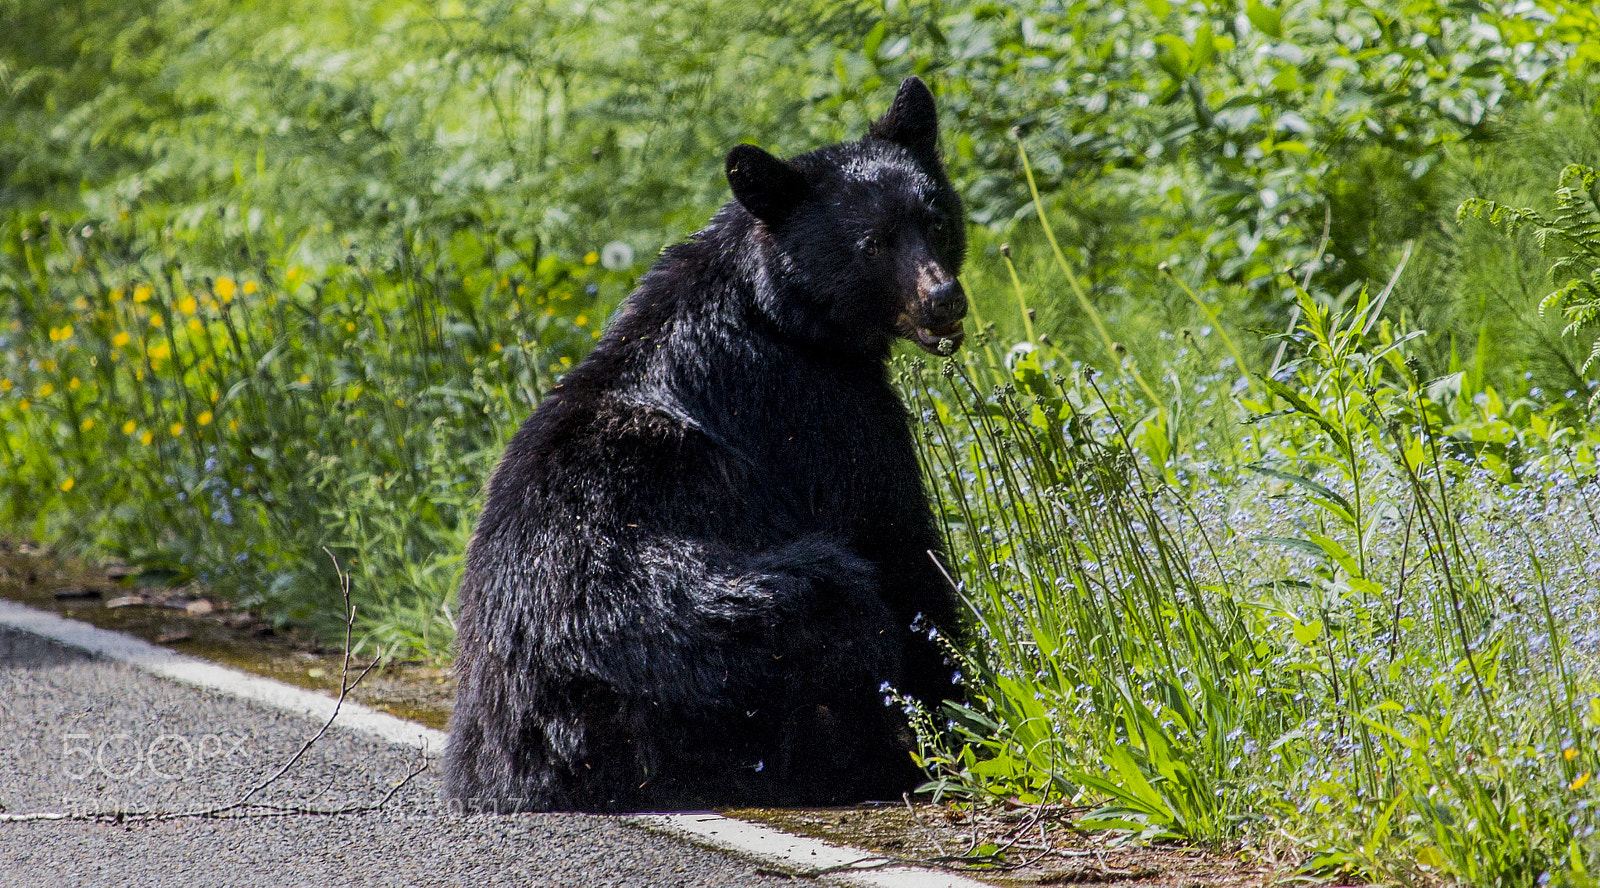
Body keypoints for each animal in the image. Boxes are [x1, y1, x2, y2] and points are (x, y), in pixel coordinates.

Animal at [442, 76, 969, 813]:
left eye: (937, 219)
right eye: (872, 244)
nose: (943, 300)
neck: (776, 309)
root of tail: (510, 768)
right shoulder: (816, 408)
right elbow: (897, 542)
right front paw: (971, 718)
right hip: (713, 631)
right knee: (838, 601)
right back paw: (872, 762)